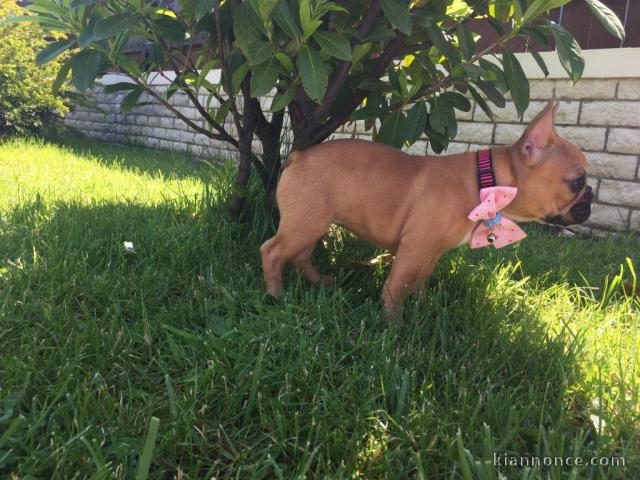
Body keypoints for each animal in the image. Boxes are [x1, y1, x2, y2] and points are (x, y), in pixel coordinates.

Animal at [260, 100, 596, 316]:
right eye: (577, 182)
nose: (591, 195)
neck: (485, 181)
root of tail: (299, 156)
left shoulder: (431, 251)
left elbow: (419, 281)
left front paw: (423, 306)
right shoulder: (415, 248)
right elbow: (396, 287)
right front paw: (393, 325)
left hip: (310, 222)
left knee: (300, 255)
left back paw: (320, 283)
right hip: (306, 222)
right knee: (273, 251)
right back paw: (276, 296)